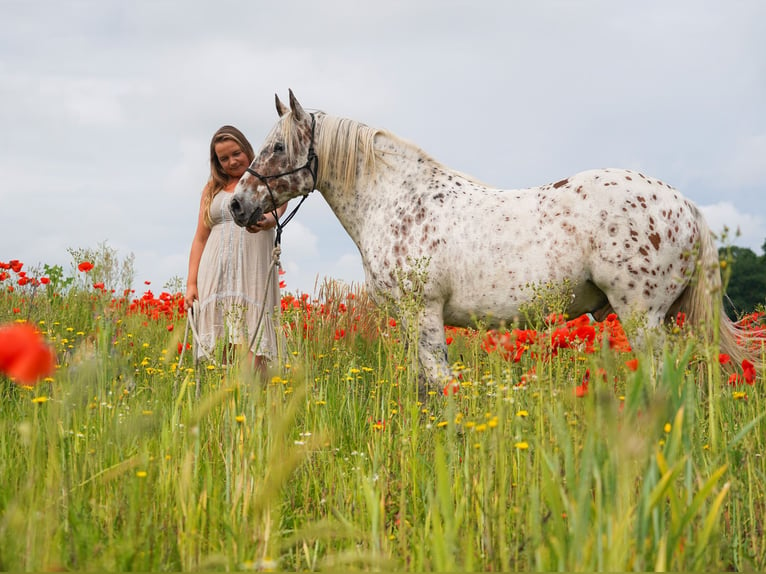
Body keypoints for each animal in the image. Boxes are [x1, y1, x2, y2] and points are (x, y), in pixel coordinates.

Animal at [231, 90, 764, 396]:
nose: (237, 205)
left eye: (278, 146)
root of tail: (685, 204)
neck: (398, 199)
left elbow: (439, 385)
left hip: (642, 316)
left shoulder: (423, 313)